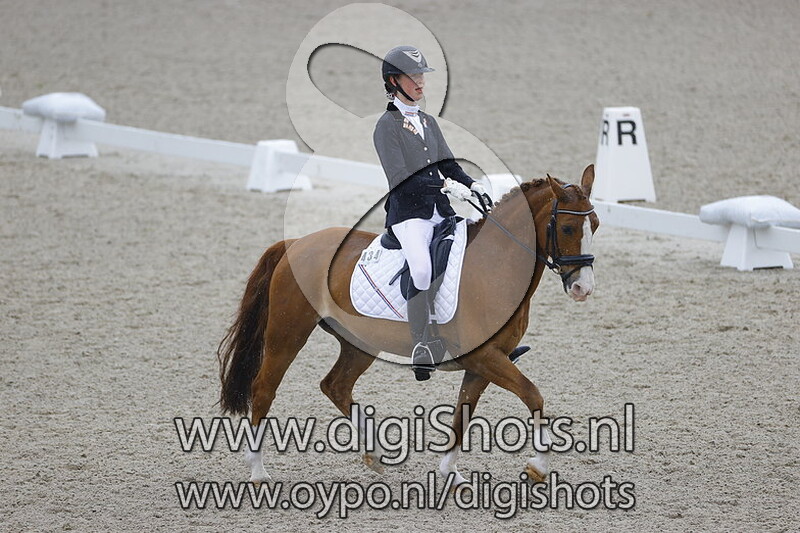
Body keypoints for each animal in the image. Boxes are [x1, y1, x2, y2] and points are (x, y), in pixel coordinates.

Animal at [218, 164, 599, 485]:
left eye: (594, 225)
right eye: (567, 227)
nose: (583, 288)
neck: (495, 265)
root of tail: (296, 243)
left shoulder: (485, 363)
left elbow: (463, 414)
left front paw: (450, 473)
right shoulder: (486, 358)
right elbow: (533, 394)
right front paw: (539, 467)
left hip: (359, 344)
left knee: (335, 385)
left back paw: (375, 454)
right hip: (287, 334)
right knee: (264, 389)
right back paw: (258, 471)